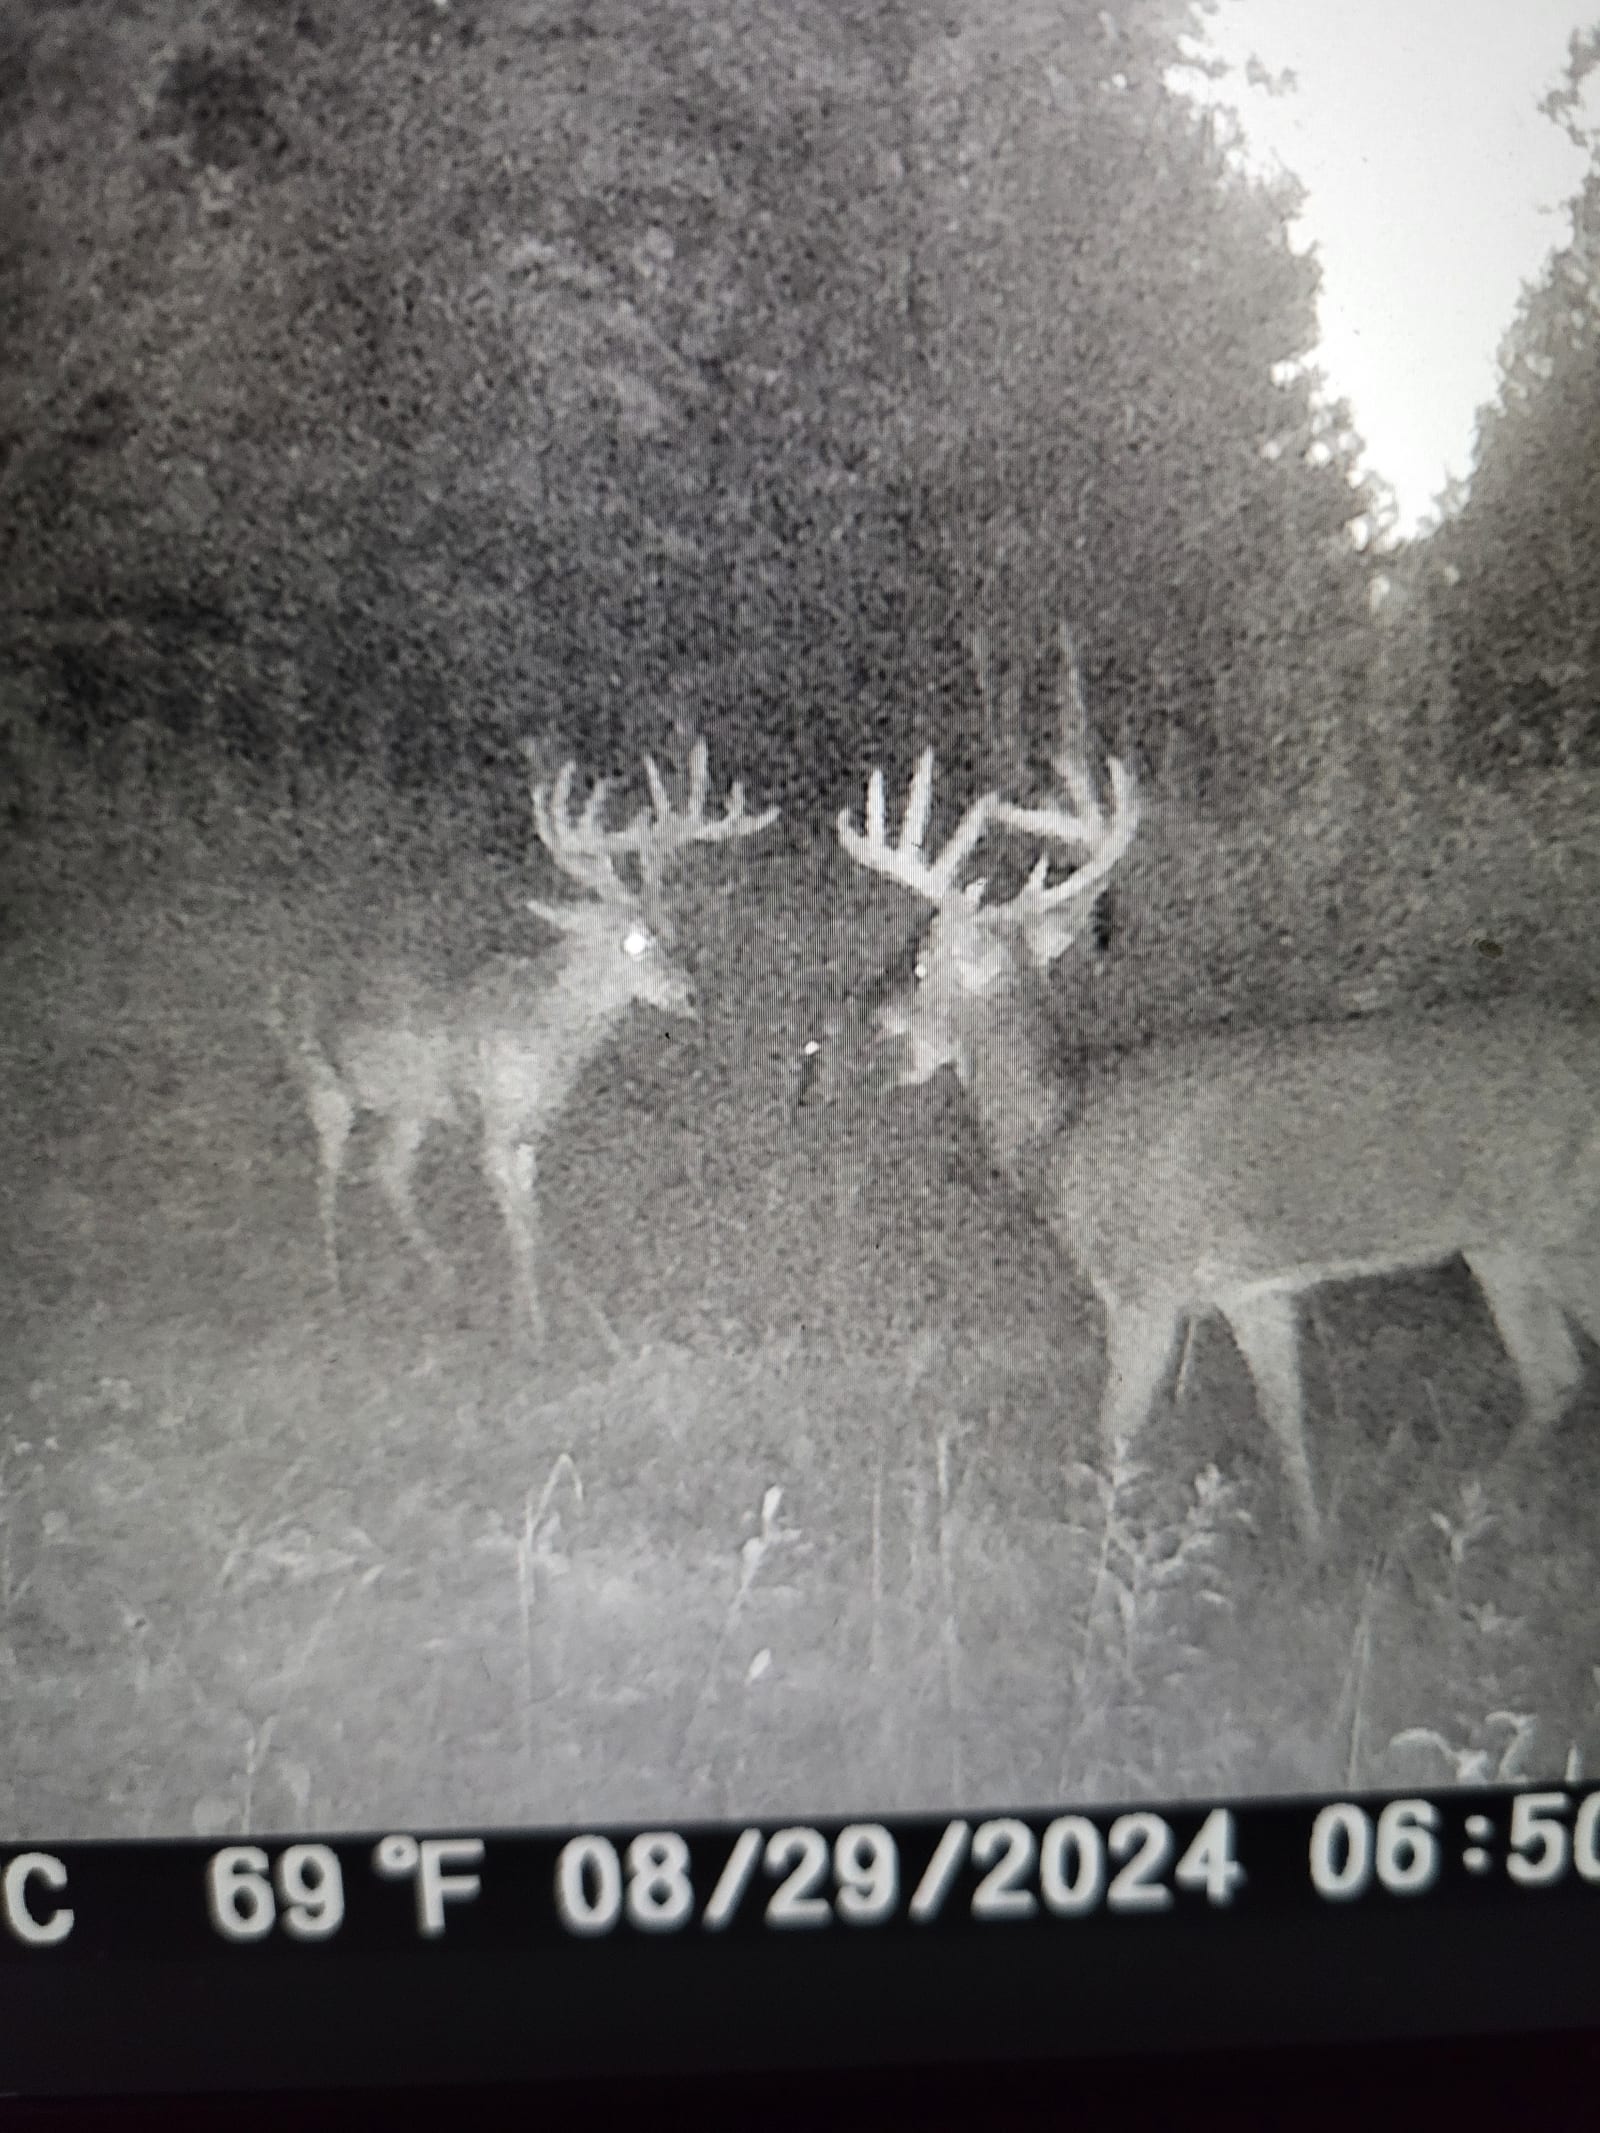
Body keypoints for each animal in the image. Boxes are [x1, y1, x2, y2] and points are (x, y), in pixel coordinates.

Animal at [273, 739, 777, 1341]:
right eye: (632, 941)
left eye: (670, 927)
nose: (690, 991)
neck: (548, 1036)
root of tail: (281, 989)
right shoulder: (494, 1127)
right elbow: (527, 1226)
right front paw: (553, 1334)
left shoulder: (529, 1132)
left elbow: (528, 1225)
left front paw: (547, 1321)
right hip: (321, 1083)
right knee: (326, 1173)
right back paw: (335, 1289)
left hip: (409, 1106)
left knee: (387, 1170)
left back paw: (442, 1275)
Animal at [836, 742, 1600, 1545]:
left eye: (922, 962)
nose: (875, 1013)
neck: (1063, 1133)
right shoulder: (1254, 1286)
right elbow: (1285, 1419)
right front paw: (1313, 1547)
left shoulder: (1144, 1286)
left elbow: (1115, 1431)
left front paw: (1096, 1553)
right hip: (1502, 1243)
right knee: (1555, 1376)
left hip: (1560, 1224)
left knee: (1561, 1368)